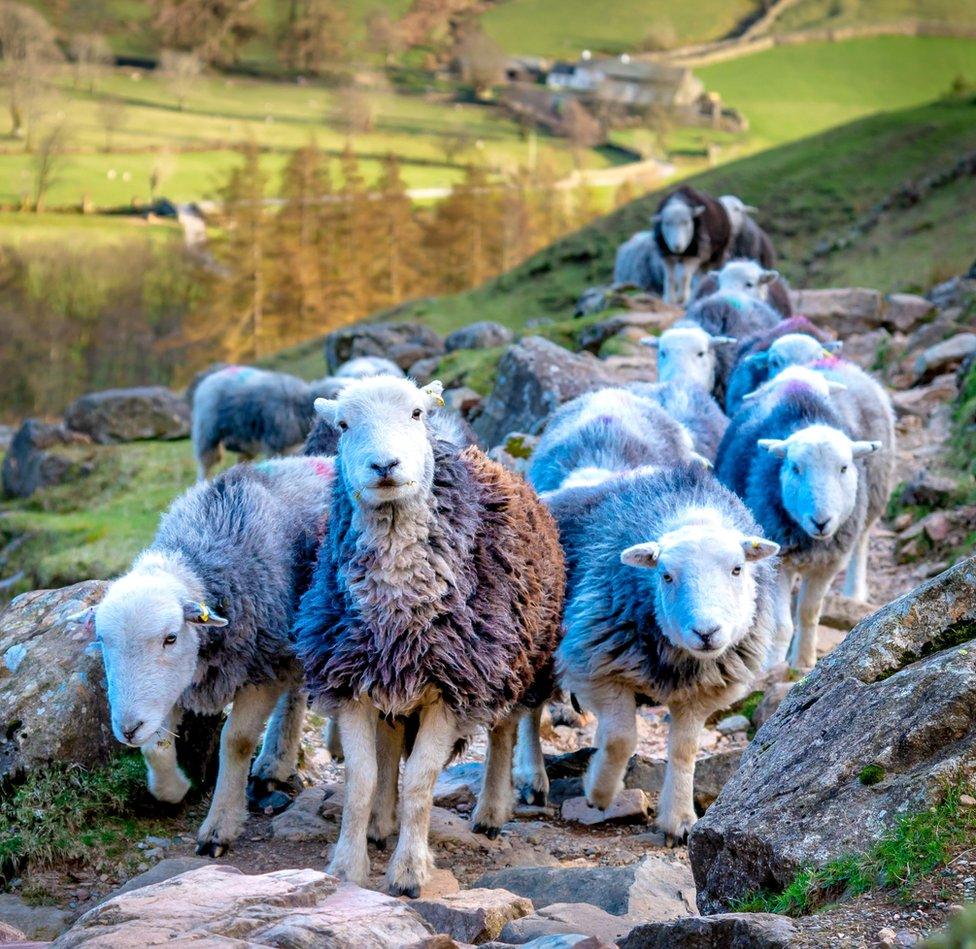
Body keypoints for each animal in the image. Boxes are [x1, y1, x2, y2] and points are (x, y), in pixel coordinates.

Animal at [68, 456, 336, 856]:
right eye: (101, 640)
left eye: (171, 638)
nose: (127, 729)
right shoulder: (173, 686)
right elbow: (157, 746)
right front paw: (173, 789)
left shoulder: (262, 665)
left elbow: (236, 742)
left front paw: (219, 827)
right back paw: (274, 765)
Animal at [548, 462, 776, 840]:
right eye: (666, 575)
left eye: (737, 568)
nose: (706, 632)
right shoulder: (595, 666)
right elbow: (622, 739)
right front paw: (599, 792)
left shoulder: (703, 692)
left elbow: (684, 751)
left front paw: (679, 819)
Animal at [716, 360, 892, 672]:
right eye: (795, 468)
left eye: (844, 467)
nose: (821, 522)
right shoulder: (777, 559)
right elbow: (781, 623)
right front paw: (772, 667)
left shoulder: (830, 561)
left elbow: (808, 613)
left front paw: (804, 662)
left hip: (871, 503)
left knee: (862, 542)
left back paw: (855, 592)